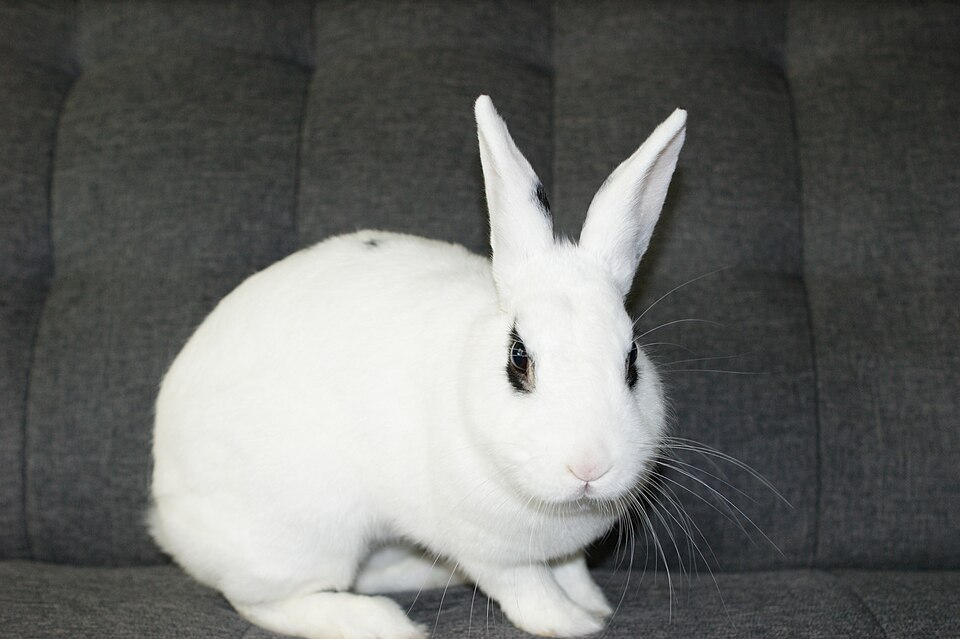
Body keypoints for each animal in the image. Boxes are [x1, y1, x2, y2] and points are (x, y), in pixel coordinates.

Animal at [149, 95, 686, 639]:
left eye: (632, 360)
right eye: (518, 359)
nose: (589, 466)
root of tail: (167, 515)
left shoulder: (563, 551)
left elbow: (572, 568)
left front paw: (594, 604)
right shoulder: (491, 553)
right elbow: (528, 589)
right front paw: (574, 623)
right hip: (305, 533)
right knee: (261, 600)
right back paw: (381, 623)